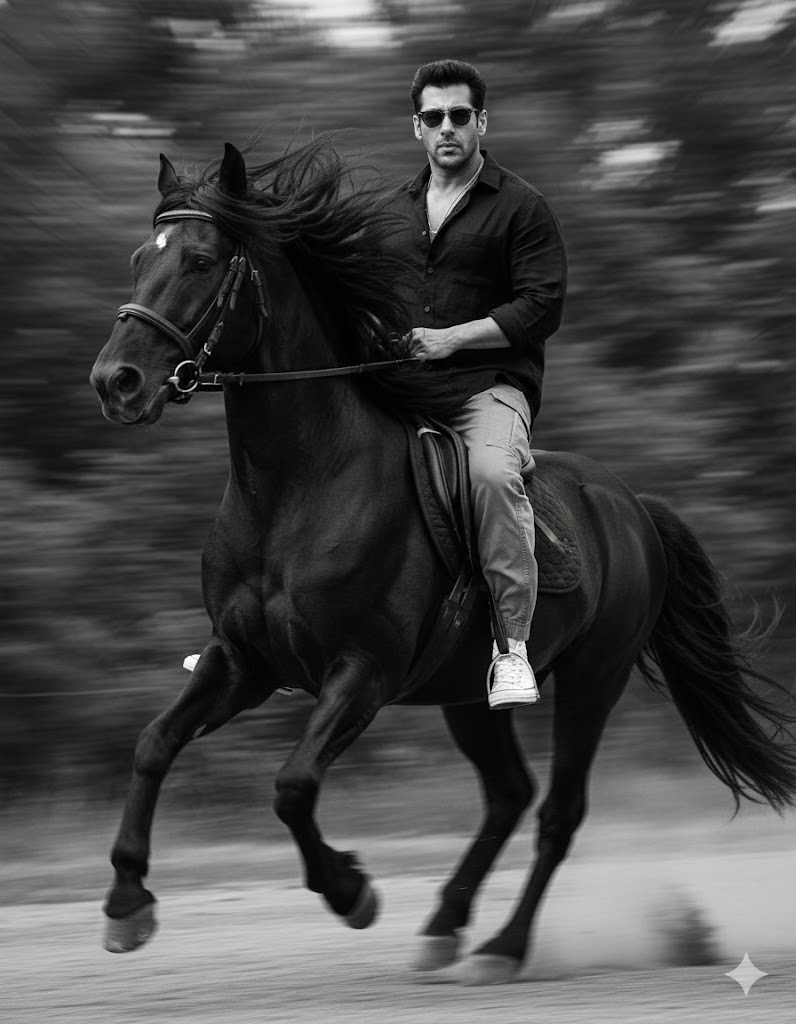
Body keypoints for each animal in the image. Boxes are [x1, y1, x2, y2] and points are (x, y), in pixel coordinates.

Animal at [90, 139, 796, 985]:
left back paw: (502, 946)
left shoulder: (363, 670)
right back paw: (445, 925)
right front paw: (127, 903)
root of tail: (632, 505)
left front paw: (351, 890)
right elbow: (153, 744)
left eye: (199, 261)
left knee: (558, 812)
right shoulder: (242, 661)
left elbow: (293, 786)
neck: (299, 486)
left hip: (593, 678)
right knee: (510, 795)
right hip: (467, 693)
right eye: (140, 258)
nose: (115, 381)